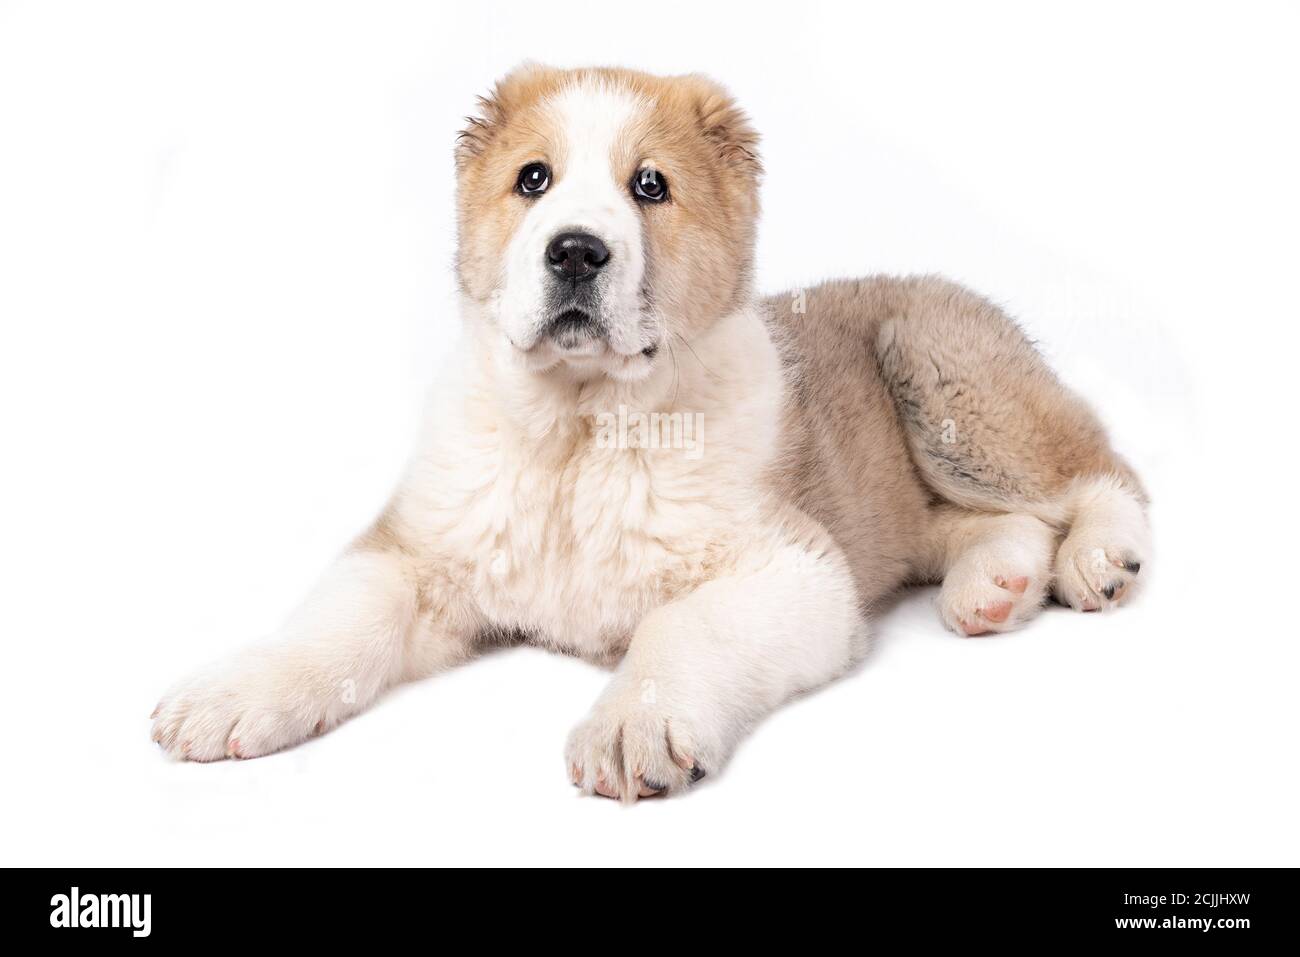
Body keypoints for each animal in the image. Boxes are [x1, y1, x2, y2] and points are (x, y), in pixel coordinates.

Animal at [149, 65, 1149, 800]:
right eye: (533, 179)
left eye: (650, 187)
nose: (577, 250)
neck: (577, 434)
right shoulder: (414, 549)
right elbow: (335, 622)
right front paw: (234, 692)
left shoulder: (794, 566)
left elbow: (681, 625)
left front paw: (633, 722)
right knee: (986, 524)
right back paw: (995, 586)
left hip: (940, 369)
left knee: (1099, 471)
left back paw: (1097, 557)